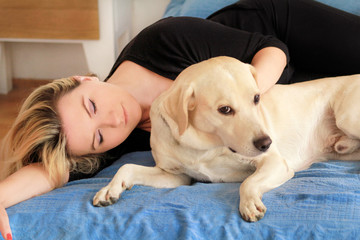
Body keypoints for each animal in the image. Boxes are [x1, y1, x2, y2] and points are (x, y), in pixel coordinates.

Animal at [92, 55, 360, 221]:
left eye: (256, 98)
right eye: (225, 110)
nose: (266, 143)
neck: (204, 148)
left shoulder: (275, 162)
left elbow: (247, 182)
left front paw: (249, 202)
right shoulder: (175, 177)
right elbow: (127, 167)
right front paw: (110, 189)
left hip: (347, 116)